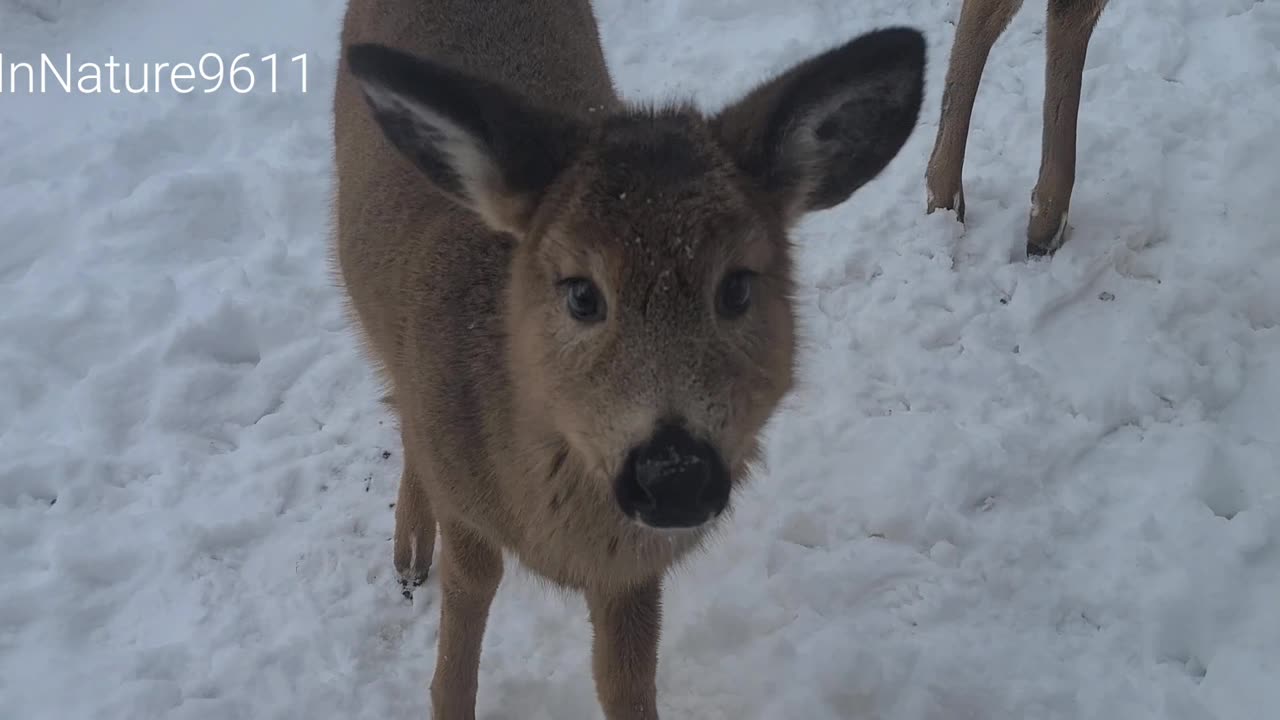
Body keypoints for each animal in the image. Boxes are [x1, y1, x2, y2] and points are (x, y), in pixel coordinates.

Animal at [330, 2, 926, 712]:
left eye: (737, 286)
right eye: (582, 293)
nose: (675, 473)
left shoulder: (634, 571)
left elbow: (623, 680)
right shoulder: (467, 511)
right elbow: (458, 651)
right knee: (396, 401)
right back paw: (410, 549)